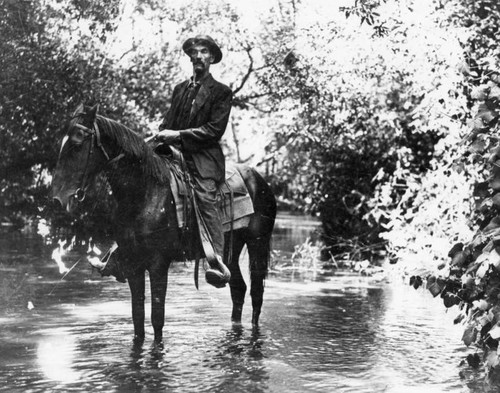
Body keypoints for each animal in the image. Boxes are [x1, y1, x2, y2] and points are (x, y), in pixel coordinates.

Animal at [51, 105, 278, 344]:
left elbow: (157, 318)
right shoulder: (134, 264)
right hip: (231, 251)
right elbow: (138, 318)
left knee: (256, 293)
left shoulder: (159, 264)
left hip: (257, 244)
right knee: (238, 289)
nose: (57, 199)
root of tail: (259, 179)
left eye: (77, 144)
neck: (145, 193)